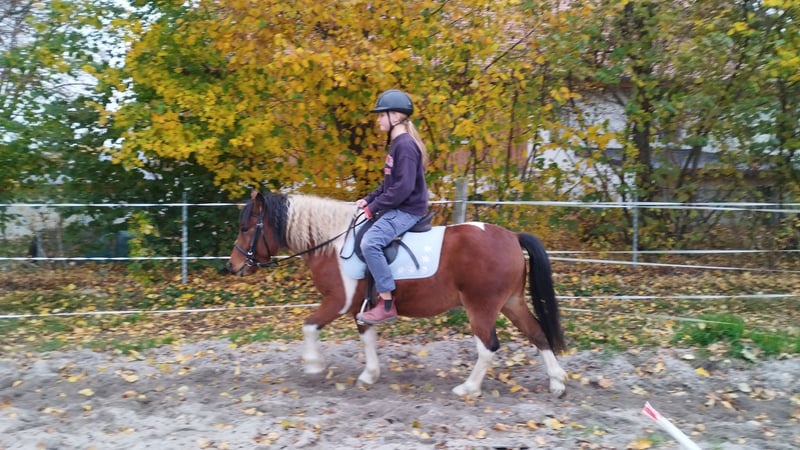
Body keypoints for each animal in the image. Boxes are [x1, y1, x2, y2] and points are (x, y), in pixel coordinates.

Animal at [226, 190, 568, 397]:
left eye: (245, 228)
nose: (233, 266)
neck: (333, 243)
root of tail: (512, 236)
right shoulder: (361, 308)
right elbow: (367, 338)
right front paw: (369, 375)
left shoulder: (338, 302)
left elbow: (309, 326)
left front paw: (313, 365)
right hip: (511, 302)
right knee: (537, 333)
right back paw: (557, 382)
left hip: (481, 307)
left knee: (488, 347)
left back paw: (468, 388)